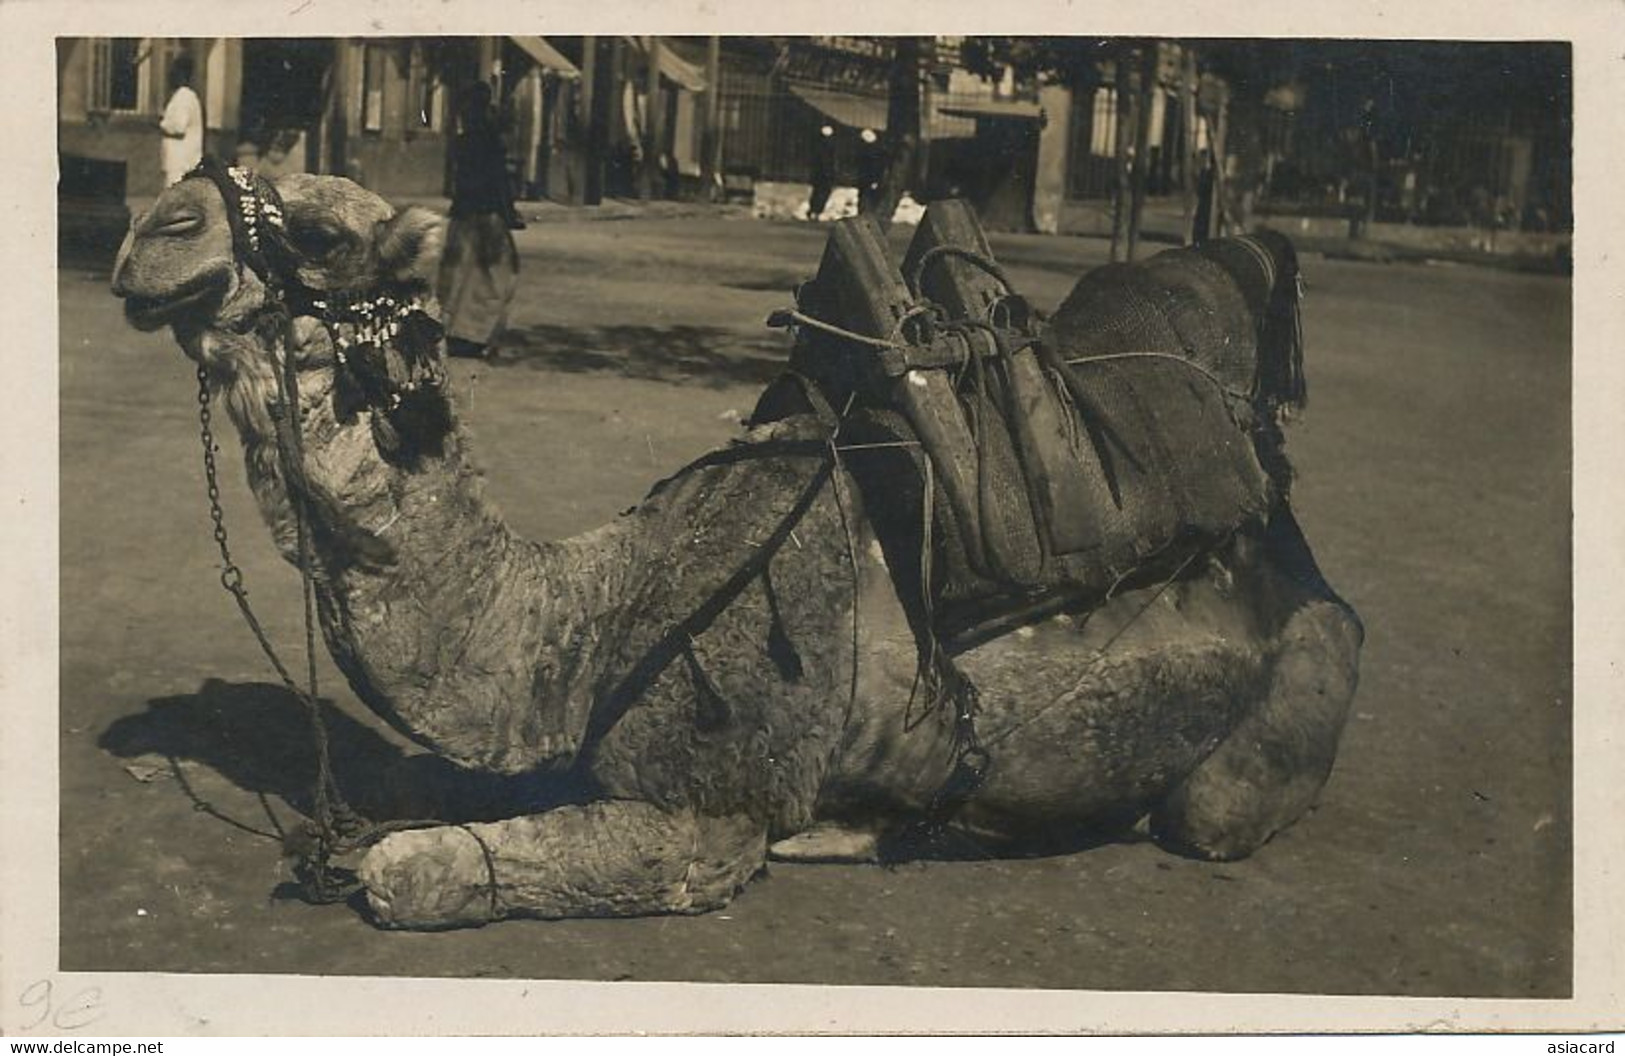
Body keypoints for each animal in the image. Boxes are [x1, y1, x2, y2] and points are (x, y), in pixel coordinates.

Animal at [108, 162, 1365, 922]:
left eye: (322, 229)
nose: (148, 228)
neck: (587, 627)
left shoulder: (712, 815)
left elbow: (405, 872)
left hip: (1293, 686)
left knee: (1212, 809)